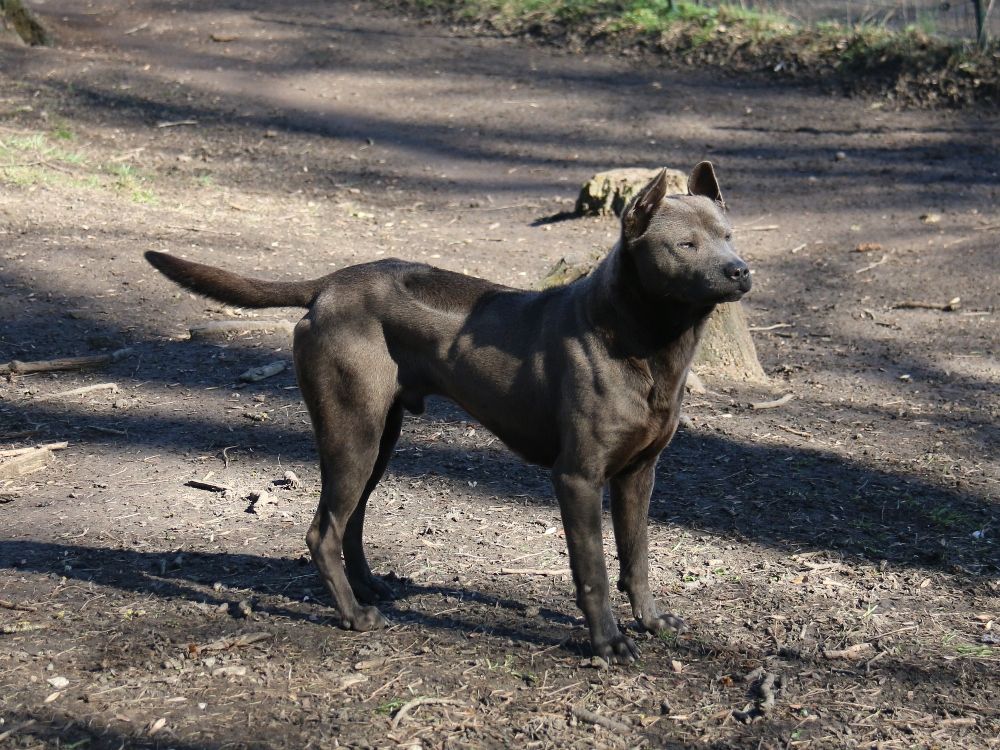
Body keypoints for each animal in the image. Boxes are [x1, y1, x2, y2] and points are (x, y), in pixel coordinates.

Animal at [145, 162, 751, 664]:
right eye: (685, 244)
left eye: (728, 235)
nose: (740, 271)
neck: (646, 342)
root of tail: (329, 285)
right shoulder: (577, 477)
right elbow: (594, 570)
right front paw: (608, 642)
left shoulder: (638, 474)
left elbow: (637, 557)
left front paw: (652, 622)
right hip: (353, 433)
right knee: (322, 531)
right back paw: (354, 615)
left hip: (380, 437)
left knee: (350, 522)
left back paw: (370, 588)